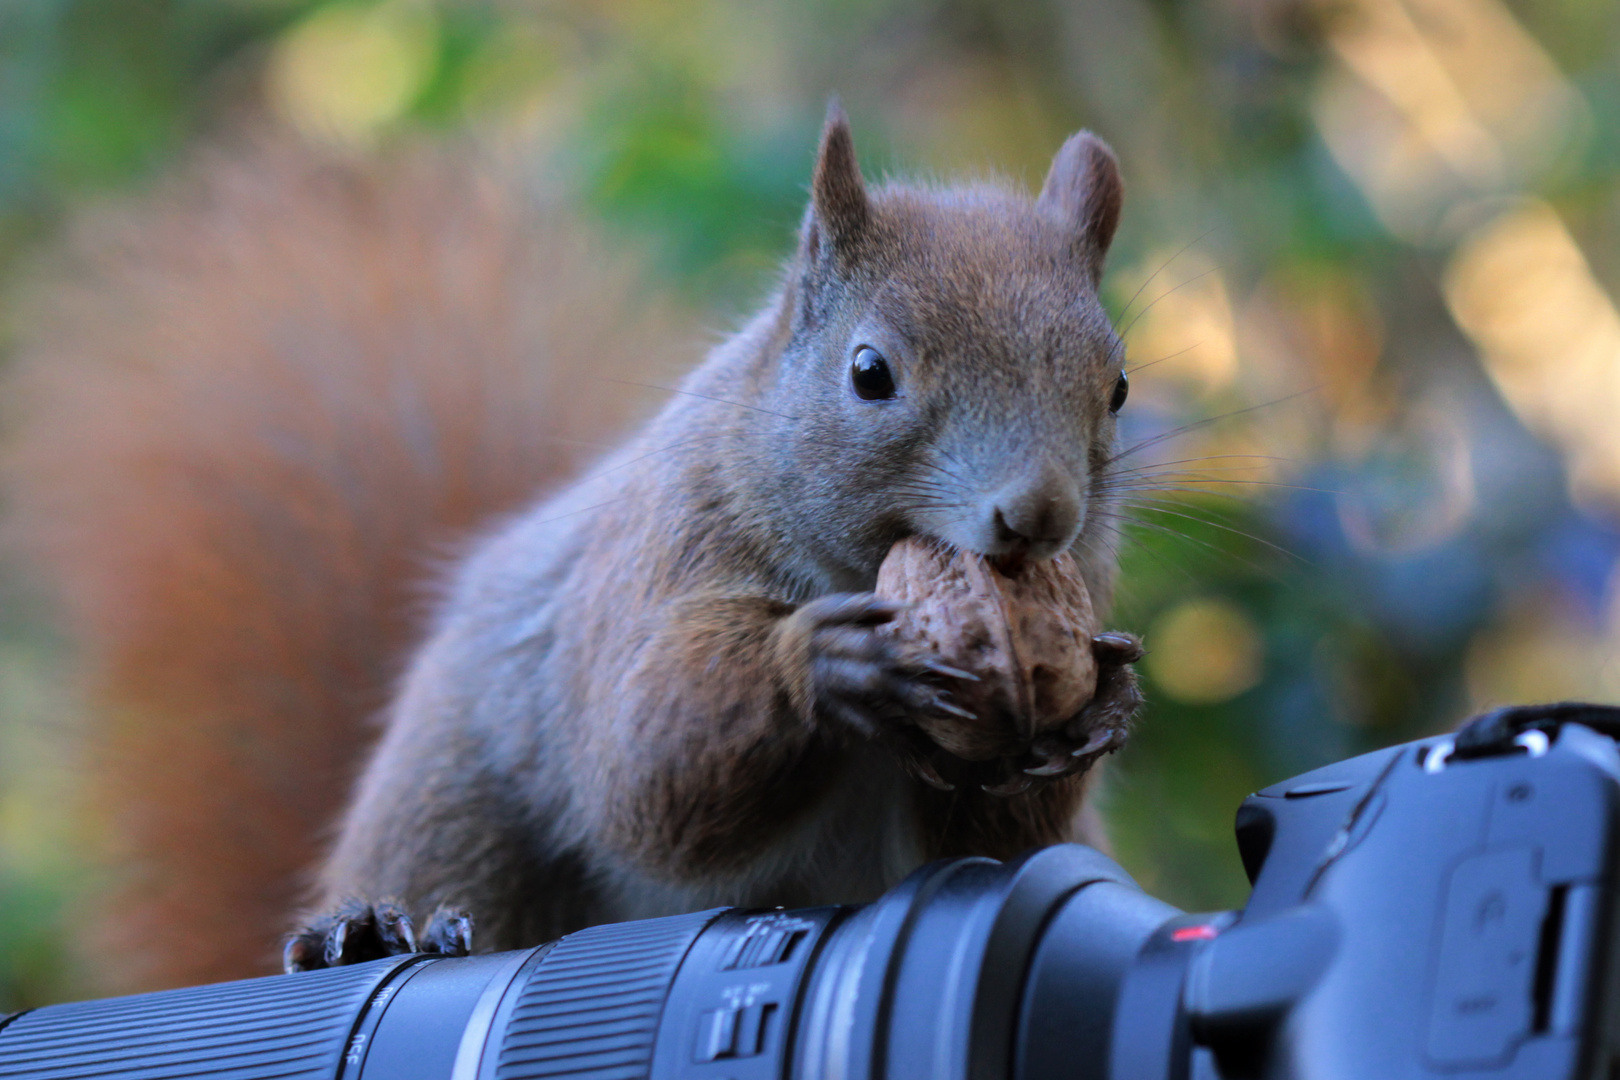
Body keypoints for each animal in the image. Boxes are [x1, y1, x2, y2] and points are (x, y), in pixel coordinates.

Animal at [3, 105, 1140, 990]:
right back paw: (358, 935)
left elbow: (998, 855)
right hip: (454, 808)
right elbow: (642, 773)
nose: (1038, 516)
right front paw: (826, 662)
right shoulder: (652, 561)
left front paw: (1101, 698)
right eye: (869, 373)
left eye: (1119, 386)